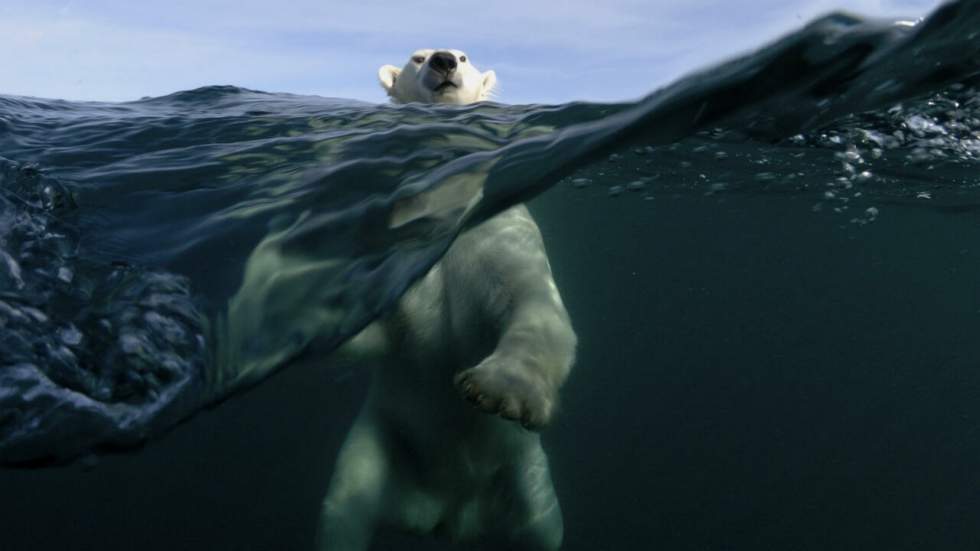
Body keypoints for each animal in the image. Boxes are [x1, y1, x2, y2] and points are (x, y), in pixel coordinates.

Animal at [316, 49, 576, 548]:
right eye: (416, 57)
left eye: (464, 57)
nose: (442, 61)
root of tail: (449, 515)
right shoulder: (397, 253)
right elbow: (376, 334)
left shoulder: (498, 233)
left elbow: (532, 303)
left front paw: (498, 390)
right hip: (381, 445)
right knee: (344, 510)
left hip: (522, 474)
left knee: (543, 527)